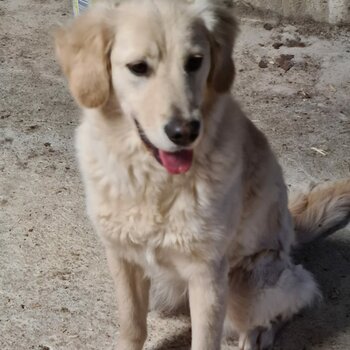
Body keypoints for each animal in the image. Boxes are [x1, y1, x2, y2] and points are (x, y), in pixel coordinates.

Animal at [54, 1, 350, 348]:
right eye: (138, 67)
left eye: (194, 62)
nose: (185, 132)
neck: (154, 182)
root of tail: (291, 234)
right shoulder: (122, 257)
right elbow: (131, 325)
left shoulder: (207, 273)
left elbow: (205, 338)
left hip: (246, 286)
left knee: (299, 292)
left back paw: (259, 334)